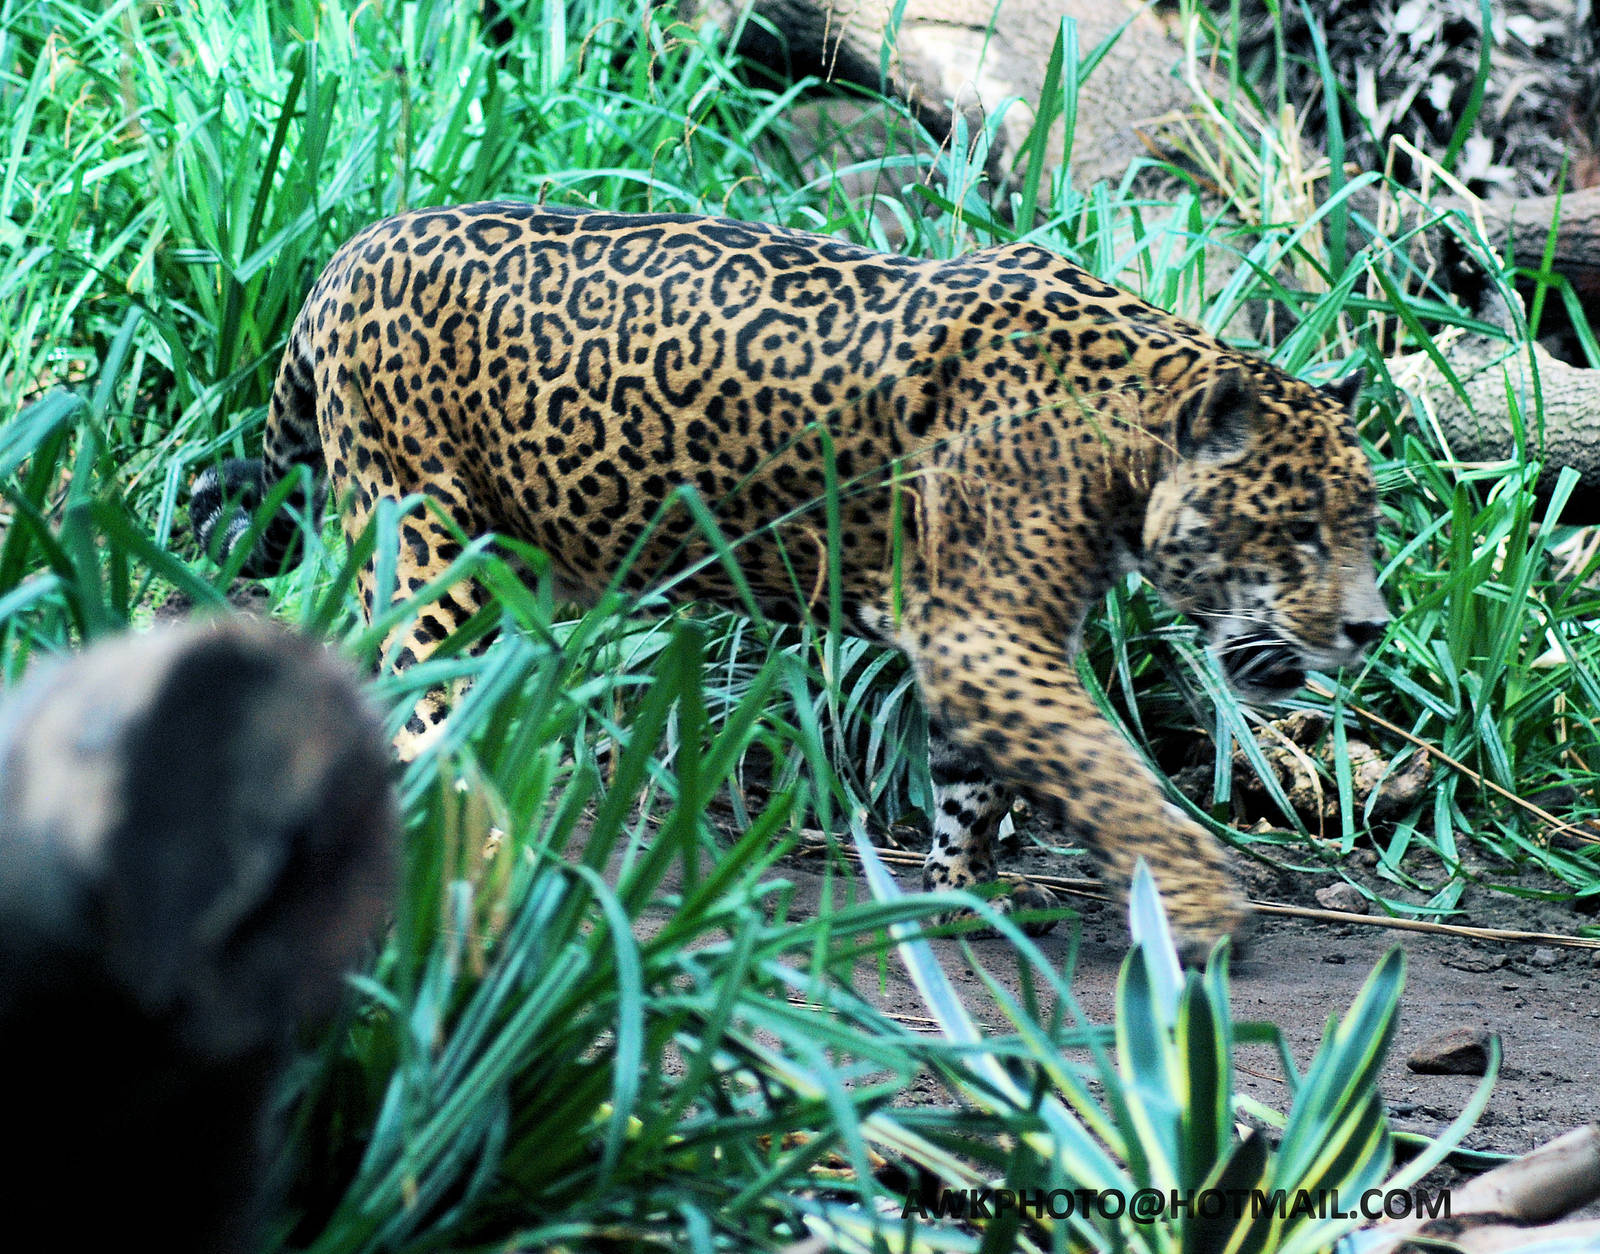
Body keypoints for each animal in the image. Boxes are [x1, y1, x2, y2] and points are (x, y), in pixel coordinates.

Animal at [191, 200, 1388, 958]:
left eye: (1366, 523)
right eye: (1298, 532)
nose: (1370, 632)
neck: (1128, 438)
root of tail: (346, 255)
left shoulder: (971, 641)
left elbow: (973, 786)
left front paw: (963, 901)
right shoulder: (989, 637)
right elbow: (1112, 775)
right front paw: (1197, 906)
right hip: (430, 535)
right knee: (404, 687)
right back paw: (456, 841)